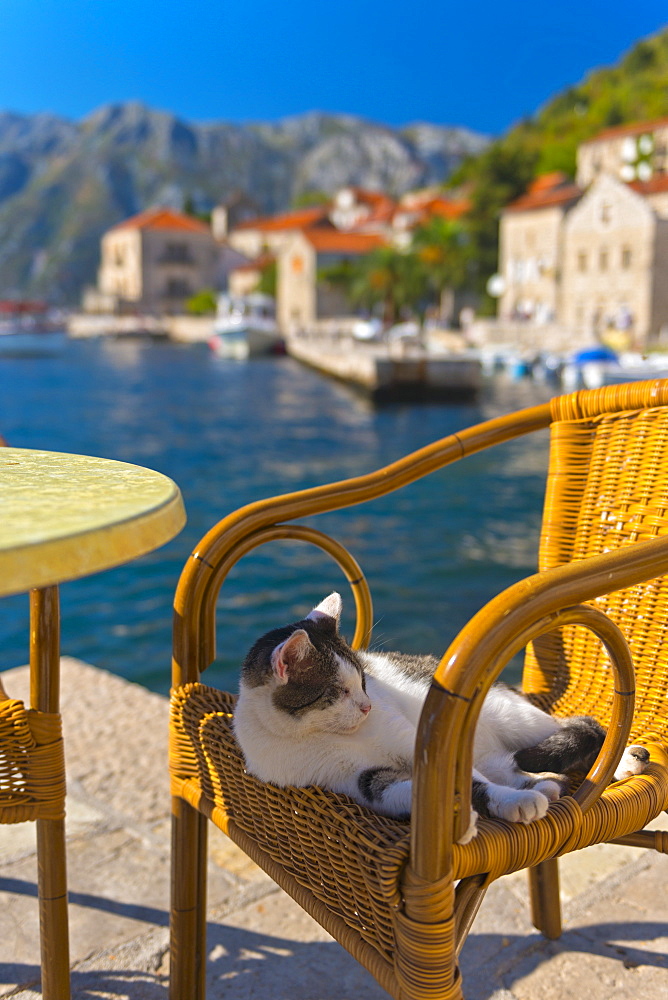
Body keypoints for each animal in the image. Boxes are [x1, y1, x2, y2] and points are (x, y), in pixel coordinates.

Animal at [234, 592, 648, 844]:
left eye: (364, 682)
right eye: (338, 691)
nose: (367, 707)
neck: (326, 735)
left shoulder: (410, 740)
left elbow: (469, 785)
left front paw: (505, 804)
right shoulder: (358, 780)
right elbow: (408, 790)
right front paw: (465, 818)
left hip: (516, 718)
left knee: (574, 728)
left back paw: (624, 761)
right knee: (512, 768)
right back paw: (543, 785)